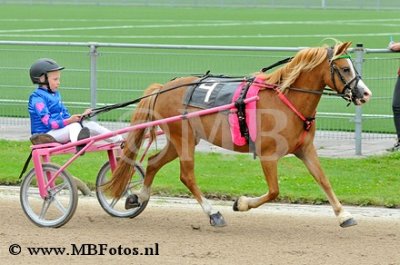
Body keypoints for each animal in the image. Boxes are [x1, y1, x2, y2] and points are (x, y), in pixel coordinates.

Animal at [104, 41, 372, 227]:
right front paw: (241, 203)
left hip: (180, 139)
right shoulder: (267, 155)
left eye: (352, 67)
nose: (366, 94)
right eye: (345, 69)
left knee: (152, 163)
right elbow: (274, 191)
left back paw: (137, 197)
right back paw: (213, 213)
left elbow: (323, 180)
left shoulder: (305, 149)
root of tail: (163, 87)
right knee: (186, 176)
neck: (285, 100)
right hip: (184, 139)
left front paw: (344, 215)